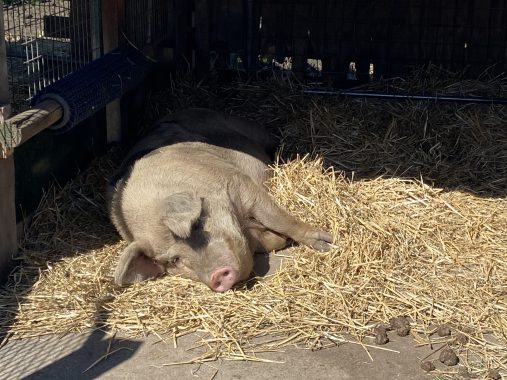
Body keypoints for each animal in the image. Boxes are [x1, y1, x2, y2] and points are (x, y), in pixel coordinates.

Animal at [108, 108, 334, 292]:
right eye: (175, 259)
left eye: (196, 225)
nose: (217, 277)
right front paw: (280, 240)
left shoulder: (239, 183)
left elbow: (279, 219)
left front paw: (328, 243)